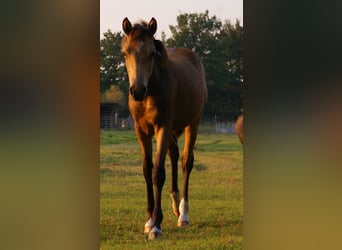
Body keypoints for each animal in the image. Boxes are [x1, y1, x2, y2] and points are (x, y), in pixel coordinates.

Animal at [121, 16, 207, 239]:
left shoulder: (162, 127)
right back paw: (175, 203)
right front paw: (149, 220)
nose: (137, 91)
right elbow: (146, 169)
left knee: (186, 161)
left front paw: (156, 226)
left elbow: (158, 172)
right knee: (174, 154)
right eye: (125, 52)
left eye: (152, 53)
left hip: (192, 123)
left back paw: (183, 214)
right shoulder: (141, 131)